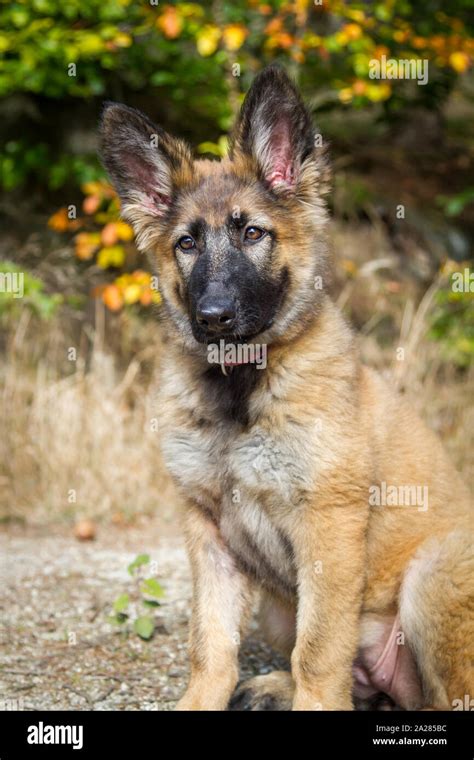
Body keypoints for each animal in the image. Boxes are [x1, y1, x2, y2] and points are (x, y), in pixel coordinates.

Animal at [100, 67, 470, 712]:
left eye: (253, 233)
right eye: (186, 245)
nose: (214, 316)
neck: (241, 391)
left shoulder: (328, 526)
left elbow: (318, 648)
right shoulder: (208, 531)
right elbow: (210, 643)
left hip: (432, 576)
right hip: (278, 606)